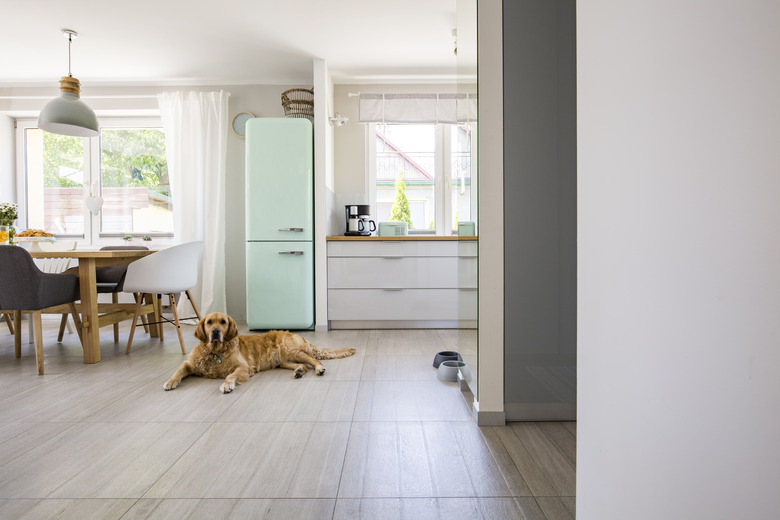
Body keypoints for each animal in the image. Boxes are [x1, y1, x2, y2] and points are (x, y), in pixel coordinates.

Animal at [166, 312, 358, 394]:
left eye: (223, 322)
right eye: (209, 322)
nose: (215, 331)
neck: (215, 352)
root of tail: (299, 335)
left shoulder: (244, 368)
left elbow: (230, 375)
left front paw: (227, 385)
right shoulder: (190, 363)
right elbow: (179, 370)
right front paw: (170, 381)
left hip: (292, 351)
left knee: (313, 360)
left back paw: (319, 369)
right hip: (284, 360)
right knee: (303, 365)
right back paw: (298, 372)